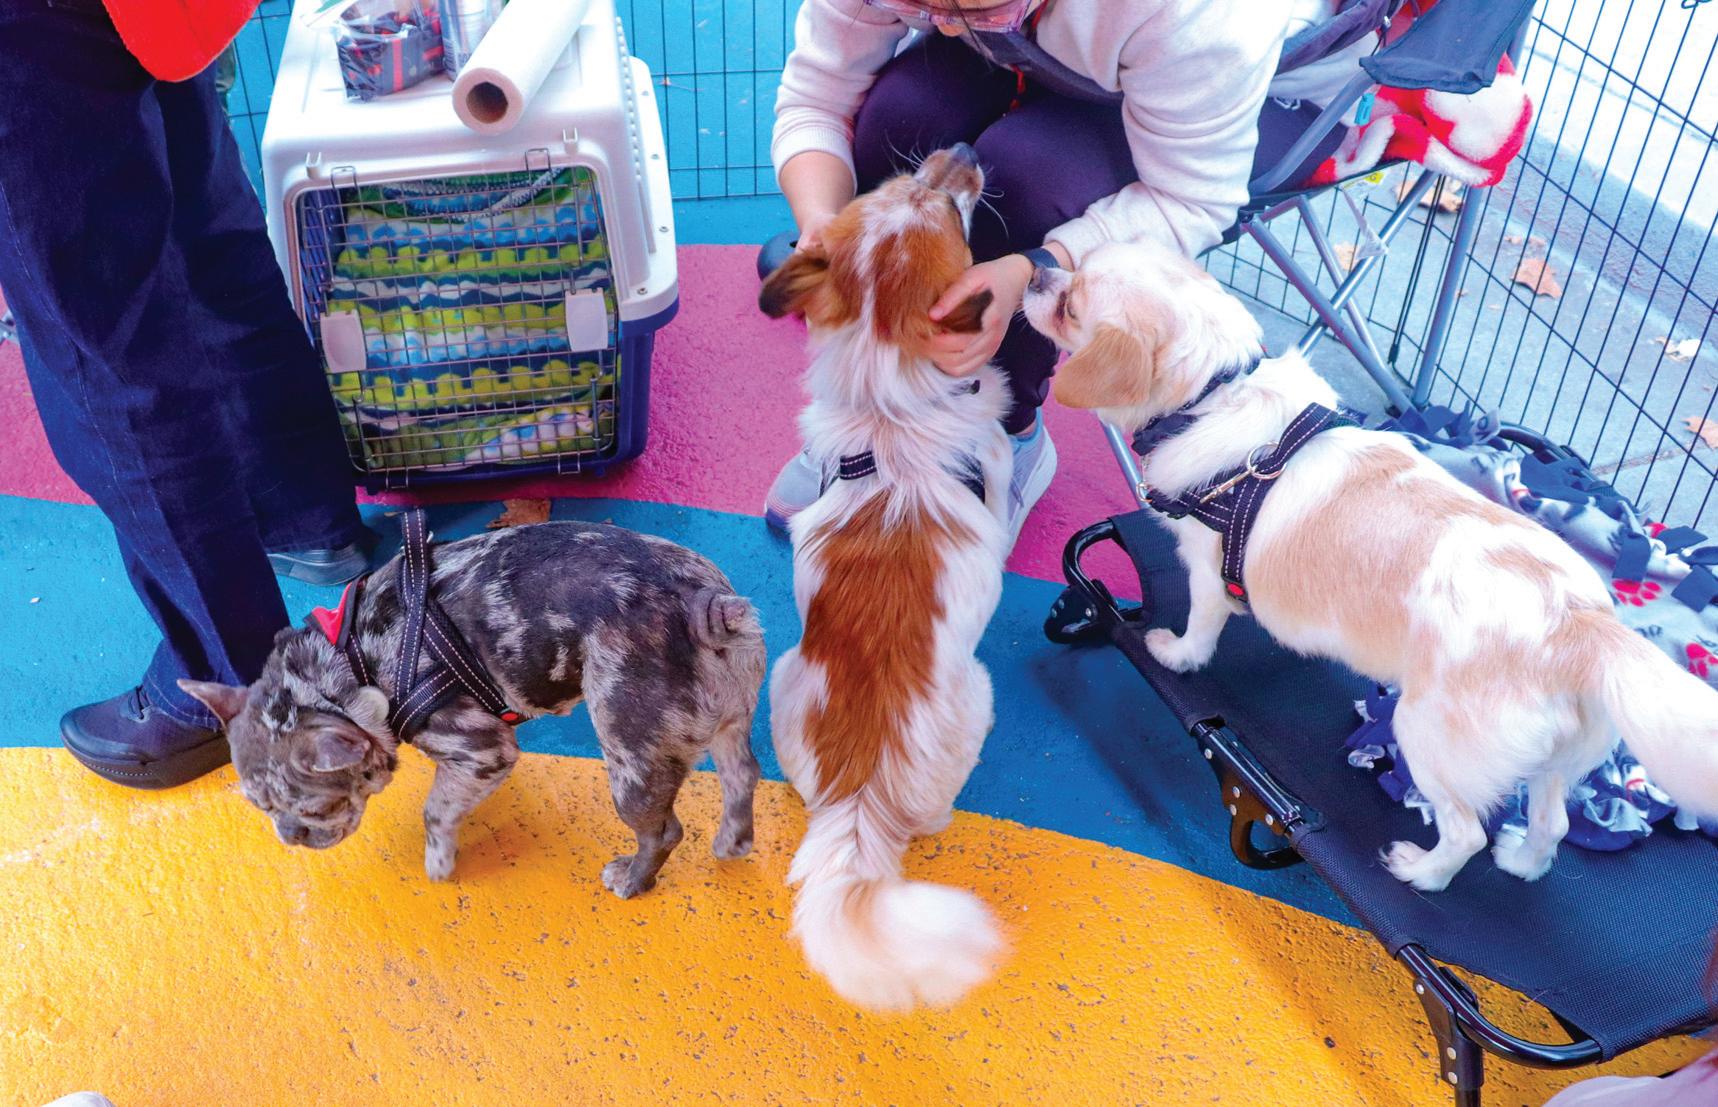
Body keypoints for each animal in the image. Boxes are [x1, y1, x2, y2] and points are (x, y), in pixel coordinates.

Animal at [181, 518, 766, 897]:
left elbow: (436, 810)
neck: (348, 664)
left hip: (632, 756)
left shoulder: (480, 751)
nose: (291, 836)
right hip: (729, 719)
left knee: (663, 831)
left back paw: (632, 880)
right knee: (742, 774)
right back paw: (731, 842)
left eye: (316, 812)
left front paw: (439, 861)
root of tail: (704, 605)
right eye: (263, 809)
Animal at [757, 144, 1010, 1009]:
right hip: (980, 694)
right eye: (952, 214)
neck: (892, 412)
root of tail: (858, 798)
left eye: (901, 185)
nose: (964, 151)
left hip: (782, 672)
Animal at [1023, 240, 1718, 892]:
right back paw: (1520, 859)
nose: (1034, 267)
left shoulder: (1206, 571)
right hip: (1555, 766)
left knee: (1464, 833)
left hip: (1425, 734)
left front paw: (1175, 654)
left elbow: (1199, 629)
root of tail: (1582, 627)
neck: (1219, 390)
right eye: (1073, 264)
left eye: (1072, 306)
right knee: (1552, 823)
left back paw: (1421, 872)